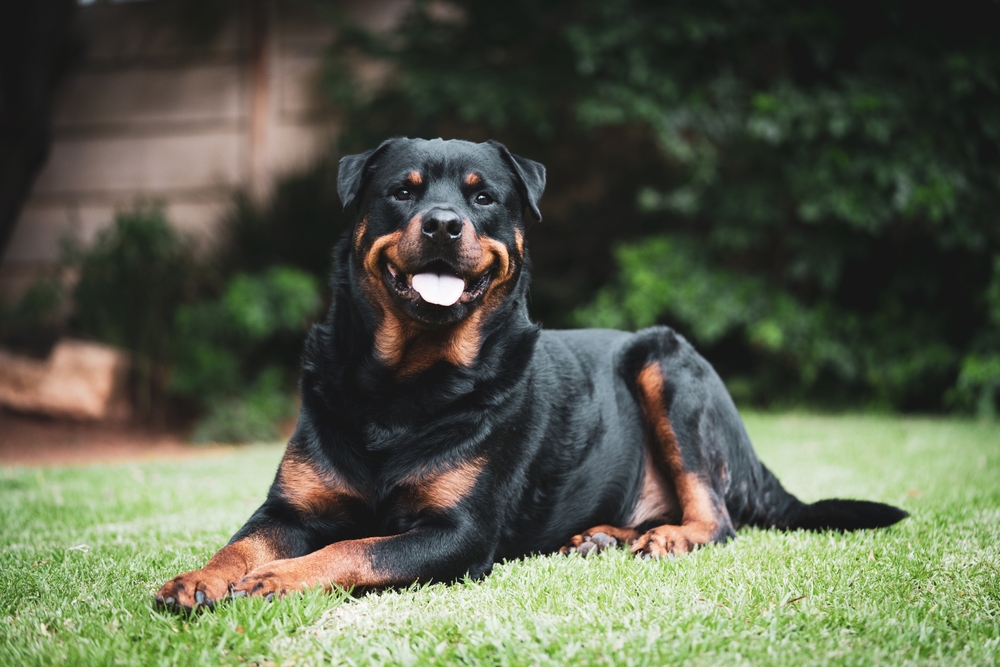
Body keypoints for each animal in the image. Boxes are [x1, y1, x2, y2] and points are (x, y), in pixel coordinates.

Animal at [154, 138, 908, 612]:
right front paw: (198, 578)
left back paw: (669, 537)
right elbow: (243, 542)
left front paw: (280, 578)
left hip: (667, 364)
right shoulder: (288, 509)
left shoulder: (457, 532)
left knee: (718, 516)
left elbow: (356, 548)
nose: (443, 224)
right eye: (403, 192)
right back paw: (607, 536)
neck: (403, 382)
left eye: (484, 198)